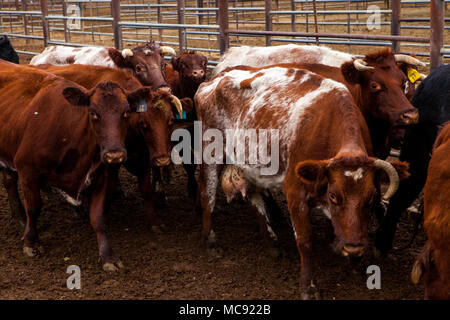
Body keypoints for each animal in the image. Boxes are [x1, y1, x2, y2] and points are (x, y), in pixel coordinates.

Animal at [0, 62, 154, 270]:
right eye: (93, 113)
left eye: (126, 112)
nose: (114, 154)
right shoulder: (27, 170)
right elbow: (34, 208)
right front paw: (31, 242)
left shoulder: (100, 177)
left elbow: (98, 218)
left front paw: (107, 256)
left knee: (8, 181)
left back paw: (20, 219)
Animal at [164, 50, 208, 198]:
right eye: (183, 64)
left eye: (203, 62)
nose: (198, 73)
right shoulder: (180, 134)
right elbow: (189, 162)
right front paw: (192, 188)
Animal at [194, 63, 408, 298]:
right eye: (333, 196)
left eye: (371, 198)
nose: (353, 247)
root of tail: (214, 80)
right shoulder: (295, 193)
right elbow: (305, 241)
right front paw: (308, 286)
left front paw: (354, 262)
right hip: (211, 152)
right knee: (207, 192)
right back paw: (210, 241)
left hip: (250, 162)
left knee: (255, 198)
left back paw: (270, 244)